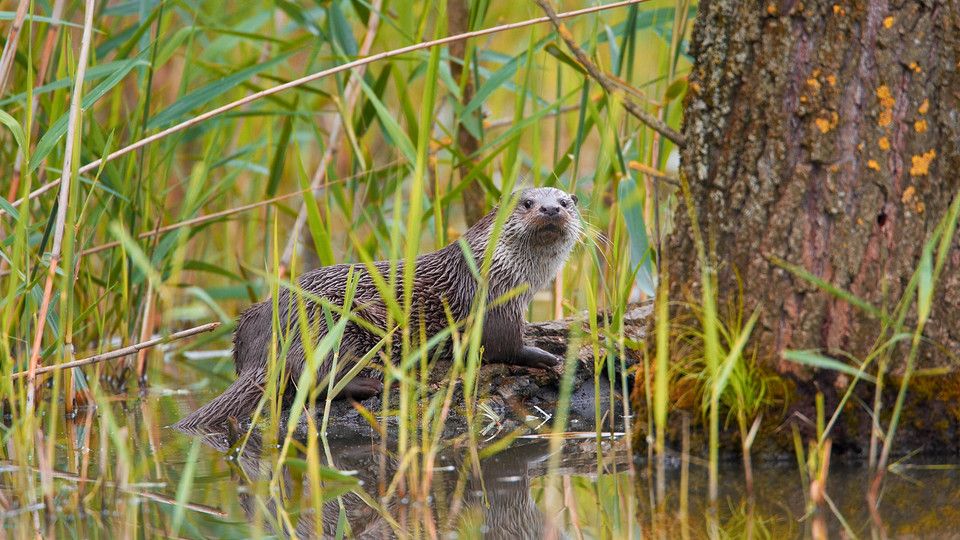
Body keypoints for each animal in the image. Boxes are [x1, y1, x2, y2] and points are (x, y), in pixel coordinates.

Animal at [175, 188, 580, 428]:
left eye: (565, 202)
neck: (495, 267)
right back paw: (369, 384)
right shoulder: (494, 305)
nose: (549, 209)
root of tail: (262, 344)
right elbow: (504, 346)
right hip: (333, 328)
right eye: (527, 203)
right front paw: (546, 355)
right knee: (313, 380)